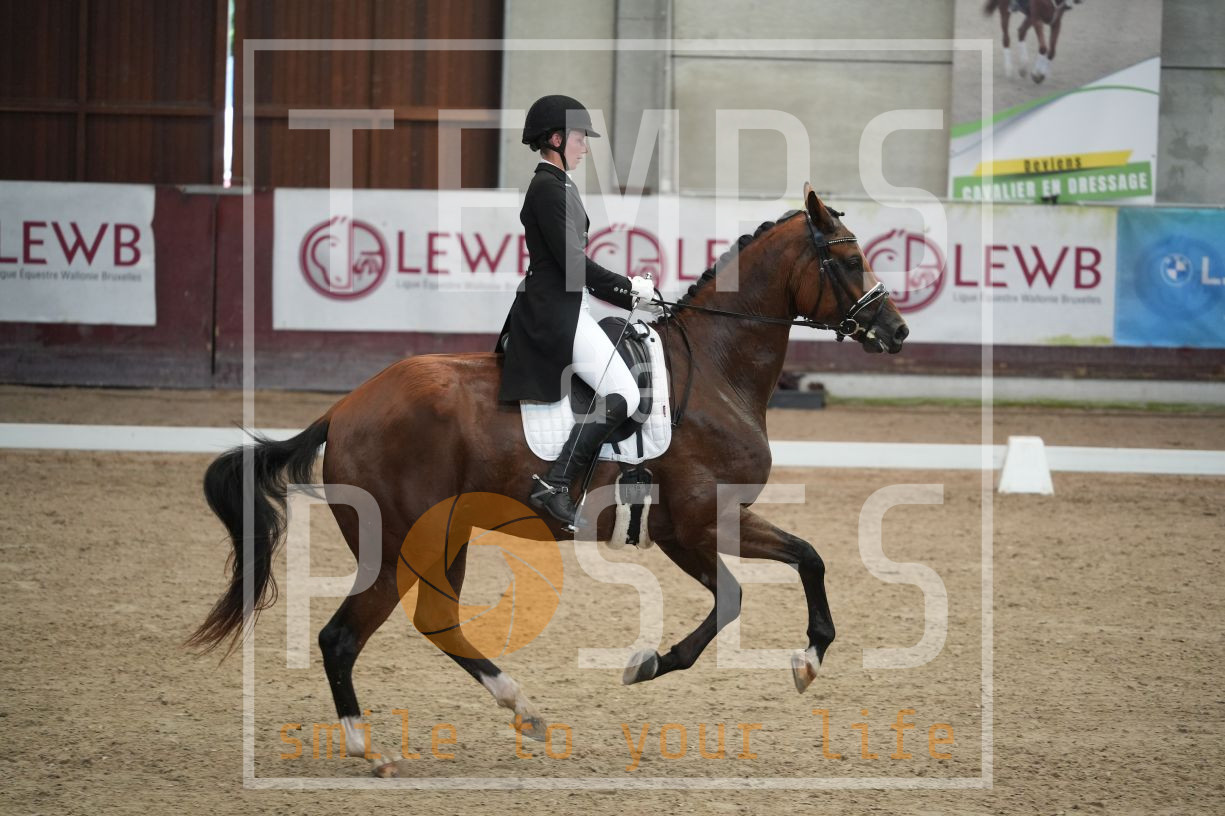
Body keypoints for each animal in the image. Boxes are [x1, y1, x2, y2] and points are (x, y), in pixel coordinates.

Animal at [188, 183, 909, 777]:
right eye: (849, 261)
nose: (896, 330)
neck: (715, 368)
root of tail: (342, 408)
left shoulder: (705, 524)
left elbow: (806, 559)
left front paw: (803, 660)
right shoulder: (695, 523)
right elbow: (739, 595)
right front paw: (654, 665)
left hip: (439, 540)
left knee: (426, 622)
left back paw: (509, 713)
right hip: (400, 542)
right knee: (348, 636)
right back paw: (386, 745)